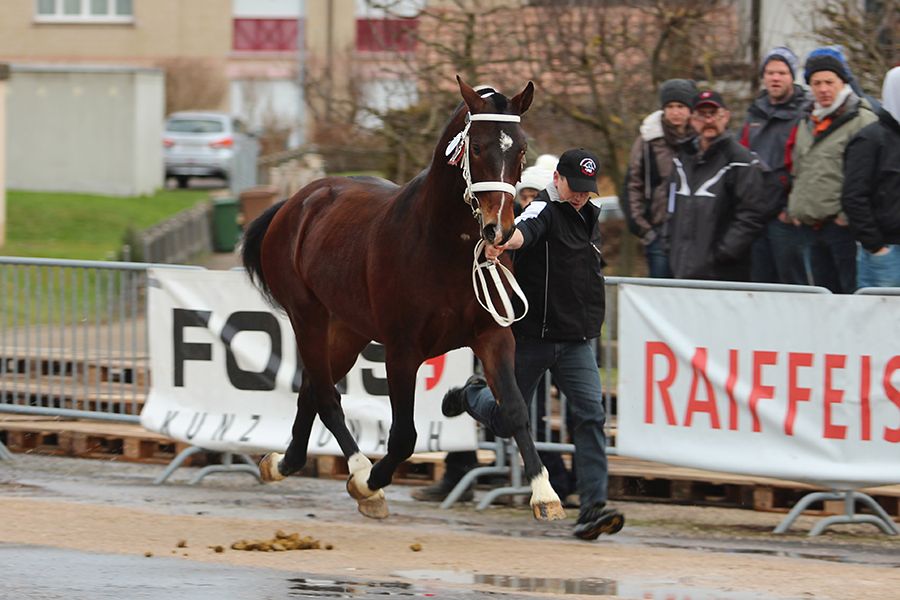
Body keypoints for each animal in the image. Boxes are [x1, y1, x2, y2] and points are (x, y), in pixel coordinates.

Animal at [241, 76, 565, 522]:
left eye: (520, 148)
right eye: (477, 147)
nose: (499, 230)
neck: (443, 244)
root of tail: (296, 202)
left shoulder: (493, 336)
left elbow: (514, 409)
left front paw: (545, 494)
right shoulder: (402, 349)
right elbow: (404, 436)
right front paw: (368, 483)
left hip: (349, 330)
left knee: (311, 388)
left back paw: (283, 462)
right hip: (308, 316)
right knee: (325, 394)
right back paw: (357, 472)